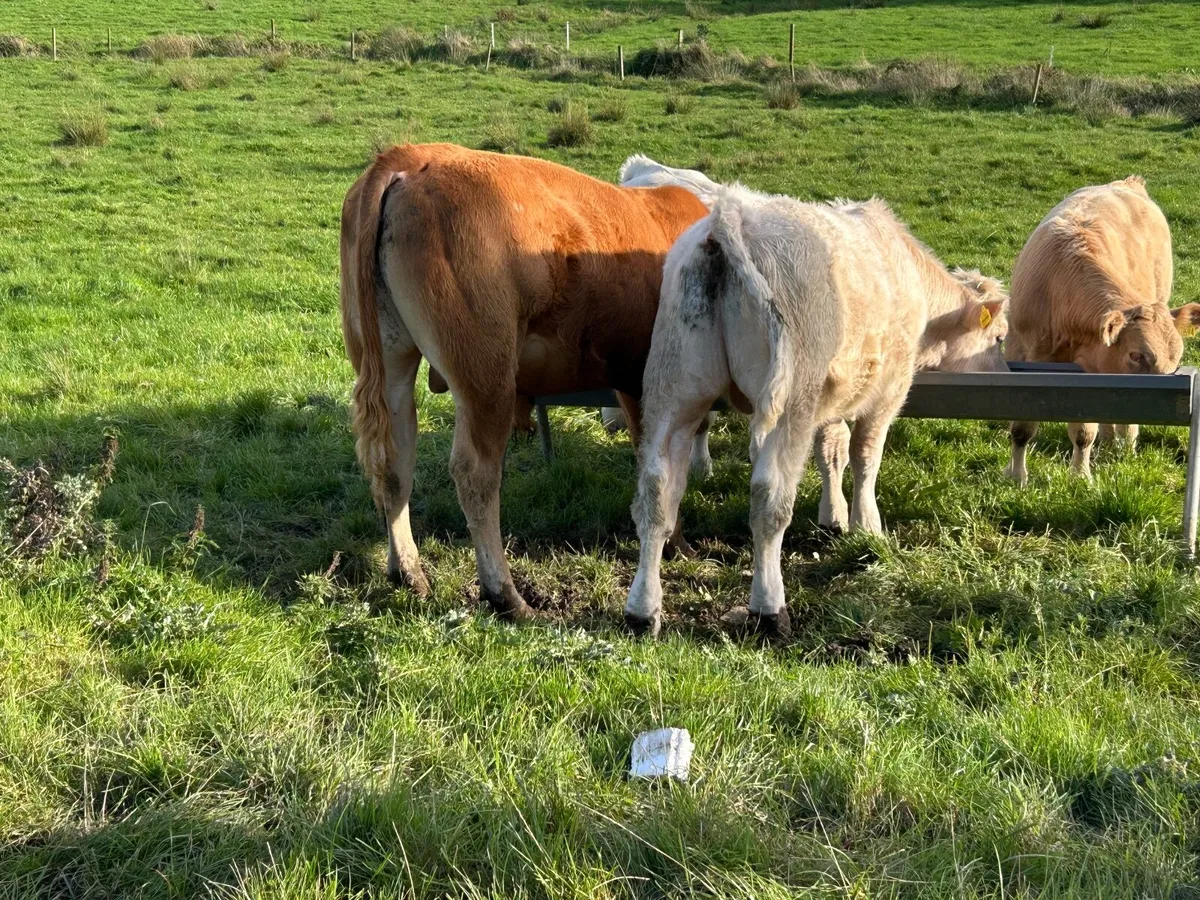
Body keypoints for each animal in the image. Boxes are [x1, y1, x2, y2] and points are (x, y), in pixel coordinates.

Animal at [340, 144, 709, 620]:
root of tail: (413, 157)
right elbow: (664, 472)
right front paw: (677, 542)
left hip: (391, 361)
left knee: (394, 465)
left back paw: (407, 571)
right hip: (487, 375)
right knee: (475, 474)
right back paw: (506, 595)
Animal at [623, 185, 1009, 639]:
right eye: (999, 338)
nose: (1006, 377)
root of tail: (731, 216)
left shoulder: (833, 398)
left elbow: (832, 452)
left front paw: (834, 516)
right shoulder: (888, 392)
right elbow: (865, 456)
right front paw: (866, 524)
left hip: (674, 389)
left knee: (656, 491)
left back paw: (642, 610)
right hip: (790, 402)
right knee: (769, 499)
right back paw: (769, 609)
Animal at [1004, 177, 1200, 484]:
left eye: (1176, 361)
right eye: (1137, 356)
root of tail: (1127, 183)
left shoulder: (1089, 372)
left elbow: (1084, 432)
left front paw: (1080, 477)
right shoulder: (1018, 351)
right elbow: (1022, 427)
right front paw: (1015, 476)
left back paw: (1124, 444)